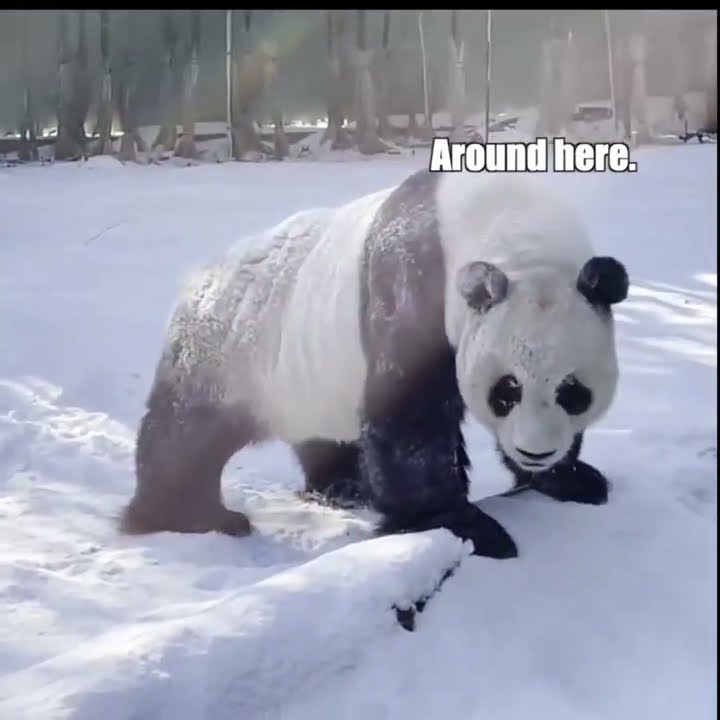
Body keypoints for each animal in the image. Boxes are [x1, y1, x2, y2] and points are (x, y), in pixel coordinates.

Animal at [120, 167, 629, 560]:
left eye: (572, 392)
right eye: (507, 390)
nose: (536, 451)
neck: (515, 226)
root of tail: (200, 278)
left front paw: (570, 478)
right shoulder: (414, 284)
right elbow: (410, 416)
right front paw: (463, 525)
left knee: (322, 435)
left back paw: (344, 487)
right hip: (230, 349)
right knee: (186, 433)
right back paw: (191, 516)